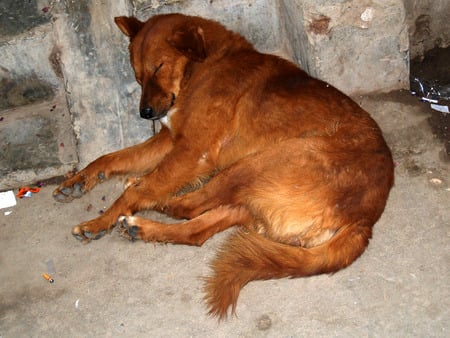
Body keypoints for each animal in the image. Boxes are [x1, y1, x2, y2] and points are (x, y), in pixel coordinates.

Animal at [53, 13, 394, 320]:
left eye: (158, 67)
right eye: (137, 75)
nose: (144, 113)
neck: (204, 65)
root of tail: (364, 220)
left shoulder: (192, 151)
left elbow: (138, 188)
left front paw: (100, 221)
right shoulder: (169, 139)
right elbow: (110, 158)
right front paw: (76, 182)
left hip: (262, 160)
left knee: (187, 205)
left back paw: (150, 201)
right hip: (250, 197)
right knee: (196, 229)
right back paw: (143, 226)